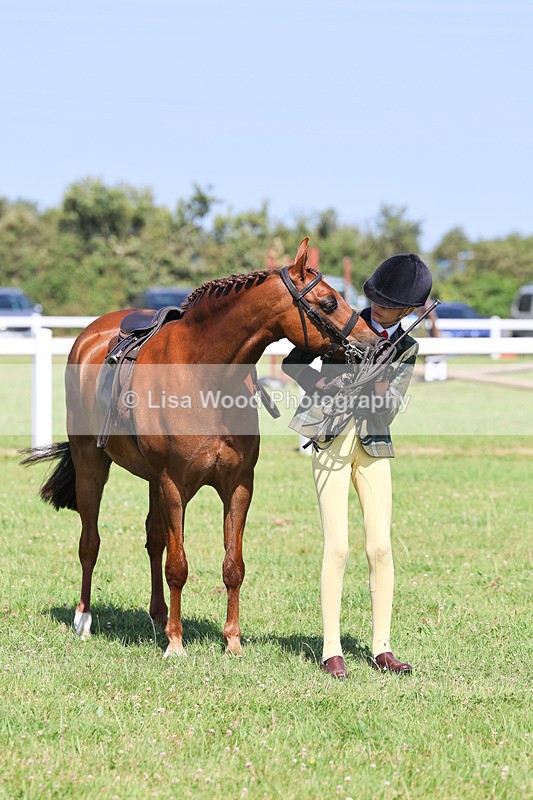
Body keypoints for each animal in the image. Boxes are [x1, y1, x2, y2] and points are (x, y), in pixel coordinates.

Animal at [23, 239, 381, 658]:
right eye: (327, 303)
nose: (376, 344)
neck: (205, 375)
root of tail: (88, 336)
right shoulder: (175, 484)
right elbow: (177, 565)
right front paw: (176, 644)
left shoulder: (238, 485)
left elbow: (232, 565)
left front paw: (232, 641)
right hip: (91, 465)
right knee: (90, 542)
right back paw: (84, 619)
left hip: (151, 480)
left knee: (153, 539)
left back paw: (158, 616)